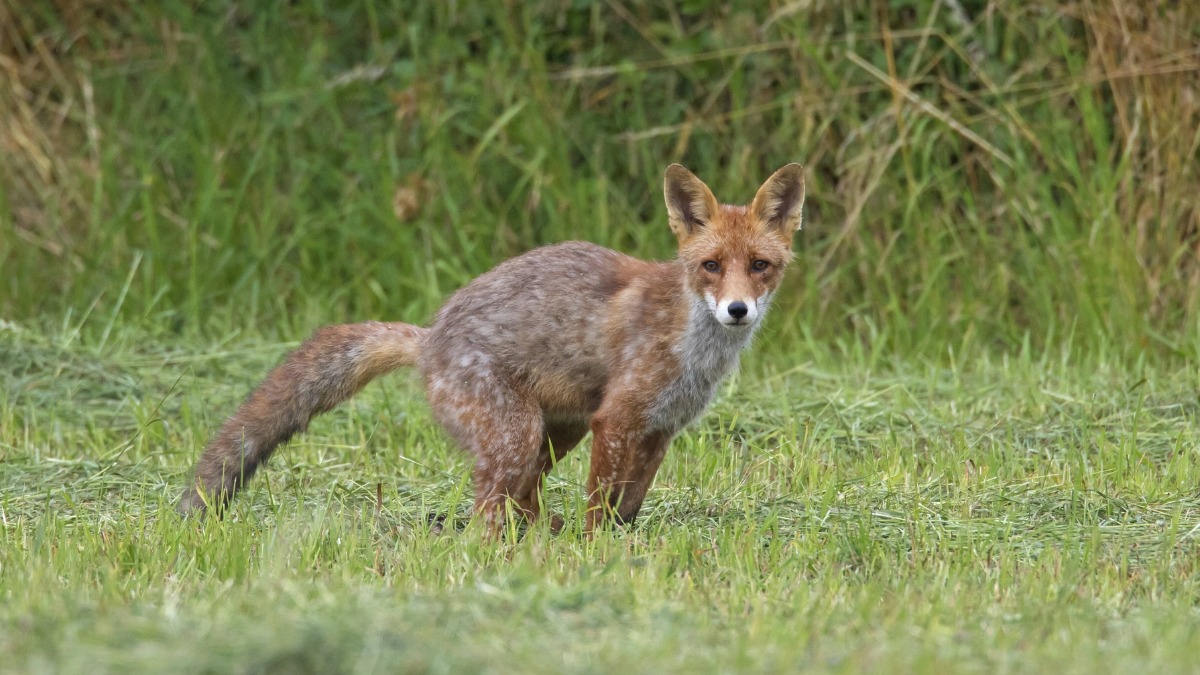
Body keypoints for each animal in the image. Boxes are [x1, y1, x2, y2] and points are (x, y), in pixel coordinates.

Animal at [177, 162, 806, 530]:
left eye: (759, 266)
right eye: (710, 266)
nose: (737, 310)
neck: (692, 350)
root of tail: (432, 334)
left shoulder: (659, 430)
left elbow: (626, 509)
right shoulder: (617, 420)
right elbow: (599, 507)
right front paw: (595, 554)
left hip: (554, 434)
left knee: (522, 502)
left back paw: (538, 540)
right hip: (518, 436)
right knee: (486, 517)